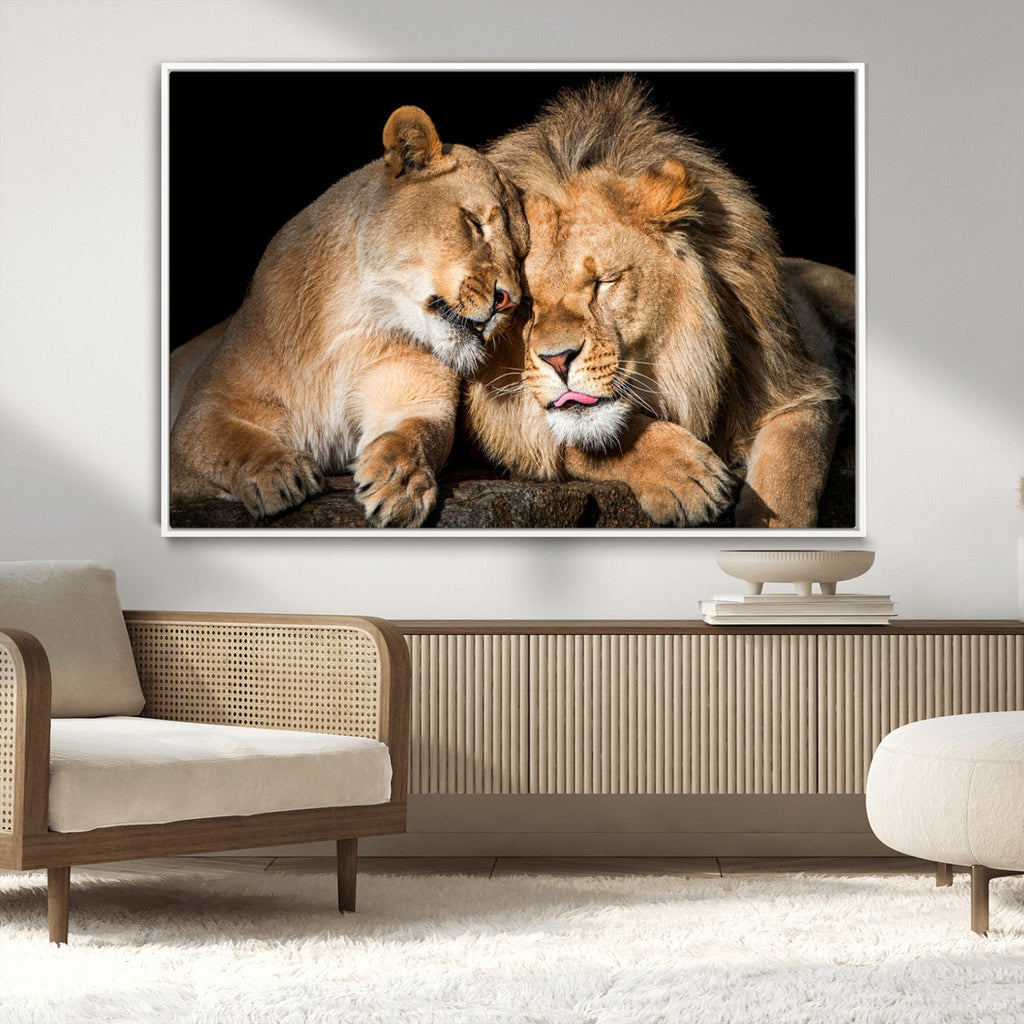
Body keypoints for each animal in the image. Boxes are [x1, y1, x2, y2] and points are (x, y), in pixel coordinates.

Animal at [169, 106, 528, 527]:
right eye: (473, 221)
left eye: (522, 255)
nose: (509, 301)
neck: (355, 321)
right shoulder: (202, 410)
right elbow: (228, 441)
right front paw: (277, 472)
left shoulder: (416, 397)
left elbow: (414, 435)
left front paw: (401, 483)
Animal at [463, 78, 851, 529]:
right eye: (524, 303)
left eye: (604, 282)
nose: (558, 360)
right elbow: (582, 436)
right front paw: (685, 474)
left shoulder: (797, 384)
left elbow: (788, 471)